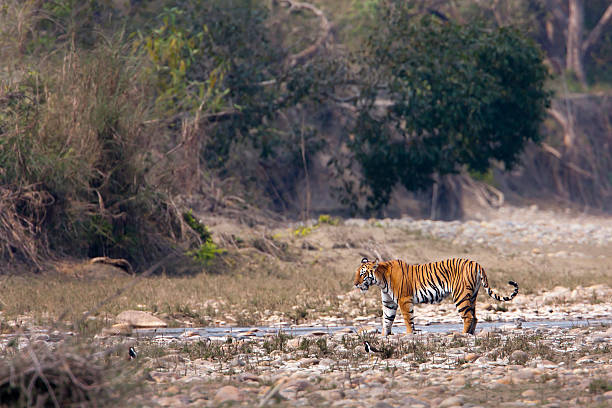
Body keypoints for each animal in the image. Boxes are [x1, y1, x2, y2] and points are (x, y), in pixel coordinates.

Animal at [354, 258, 516, 334]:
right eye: (357, 273)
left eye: (362, 274)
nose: (355, 284)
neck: (381, 280)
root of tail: (476, 263)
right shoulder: (389, 303)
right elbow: (387, 320)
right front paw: (385, 335)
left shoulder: (404, 300)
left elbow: (408, 319)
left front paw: (409, 334)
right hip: (472, 296)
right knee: (475, 317)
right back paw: (470, 334)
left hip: (460, 295)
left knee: (468, 317)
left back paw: (462, 334)